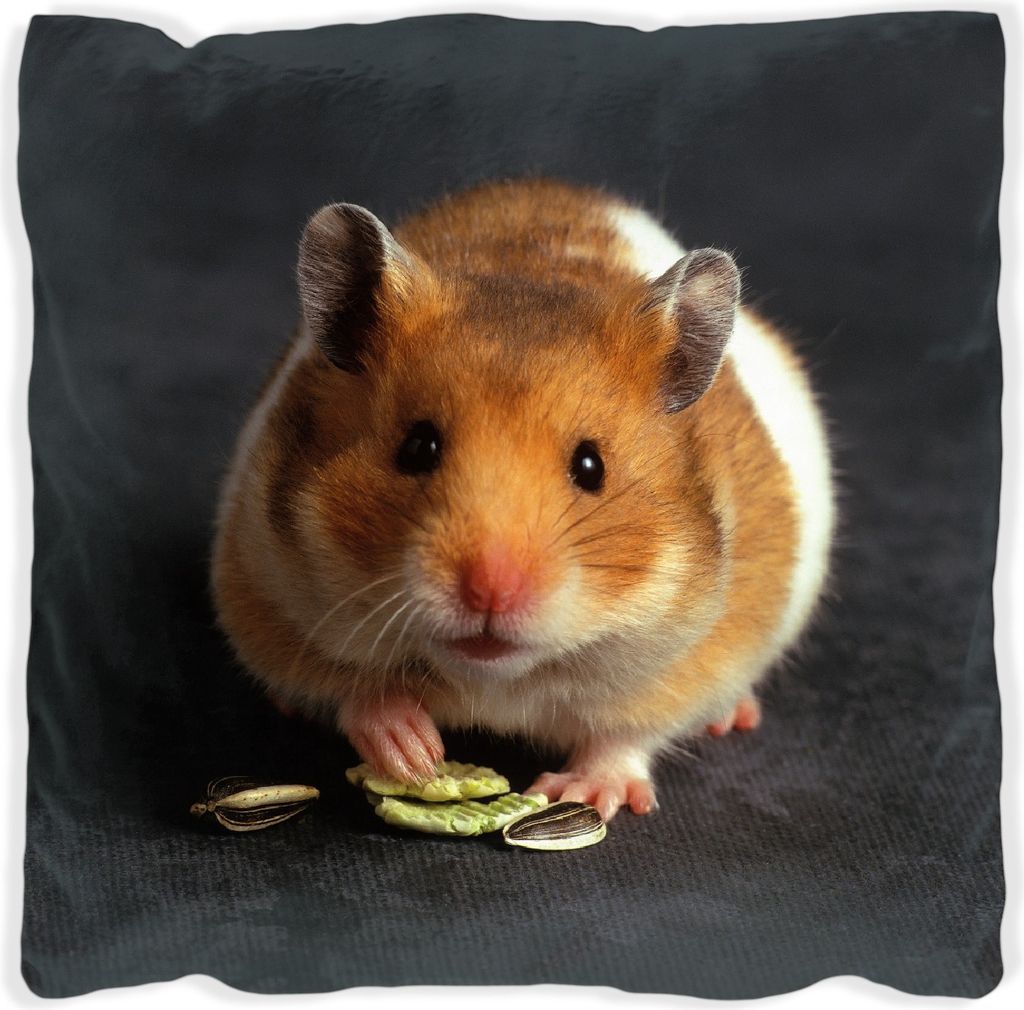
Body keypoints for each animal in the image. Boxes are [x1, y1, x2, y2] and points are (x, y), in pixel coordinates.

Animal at [210, 178, 834, 821]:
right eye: (417, 447)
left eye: (591, 466)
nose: (490, 591)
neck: (496, 676)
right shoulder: (264, 588)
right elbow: (353, 690)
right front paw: (414, 754)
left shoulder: (697, 656)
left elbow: (626, 735)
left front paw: (580, 795)